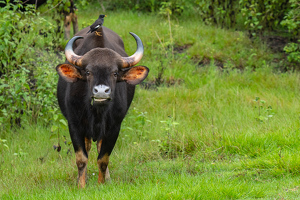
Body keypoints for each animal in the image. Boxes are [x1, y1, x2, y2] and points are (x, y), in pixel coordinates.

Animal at [55, 26, 149, 188]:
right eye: (88, 72)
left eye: (115, 73)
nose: (100, 92)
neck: (96, 112)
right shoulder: (74, 125)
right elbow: (81, 158)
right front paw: (81, 185)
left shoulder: (114, 127)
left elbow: (103, 159)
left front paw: (102, 183)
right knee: (87, 147)